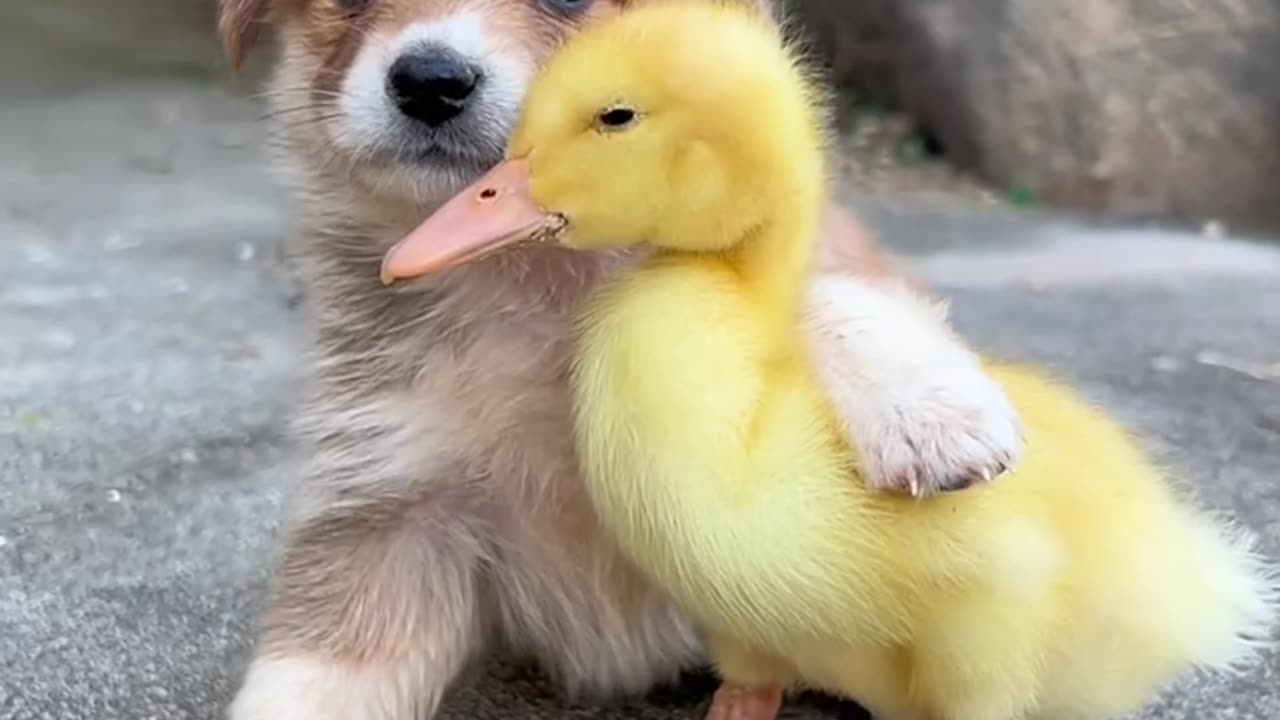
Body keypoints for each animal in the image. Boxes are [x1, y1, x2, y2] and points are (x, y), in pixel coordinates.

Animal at [217, 1, 1018, 717]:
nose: (430, 82)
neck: (537, 287)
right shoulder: (387, 512)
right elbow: (309, 681)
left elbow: (805, 289)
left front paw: (925, 406)